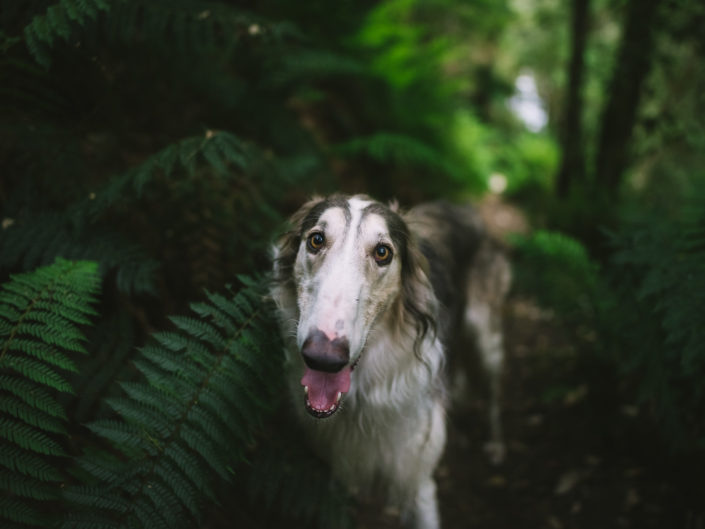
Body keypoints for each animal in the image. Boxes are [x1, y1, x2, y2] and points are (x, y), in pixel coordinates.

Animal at [270, 194, 512, 528]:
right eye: (316, 240)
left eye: (382, 252)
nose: (323, 357)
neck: (362, 397)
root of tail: (463, 207)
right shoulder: (338, 472)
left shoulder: (418, 479)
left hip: (487, 339)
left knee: (493, 394)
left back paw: (497, 445)